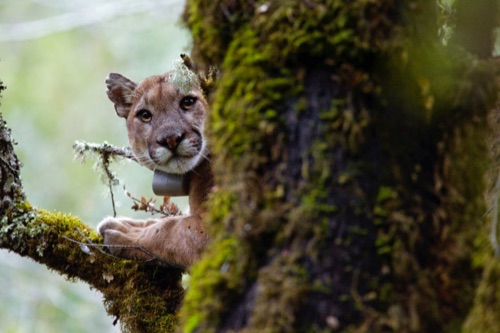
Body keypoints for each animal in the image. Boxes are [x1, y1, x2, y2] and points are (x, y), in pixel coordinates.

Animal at [97, 70, 213, 268]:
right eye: (145, 115)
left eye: (188, 102)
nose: (171, 139)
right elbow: (164, 220)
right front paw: (128, 224)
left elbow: (171, 229)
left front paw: (125, 233)